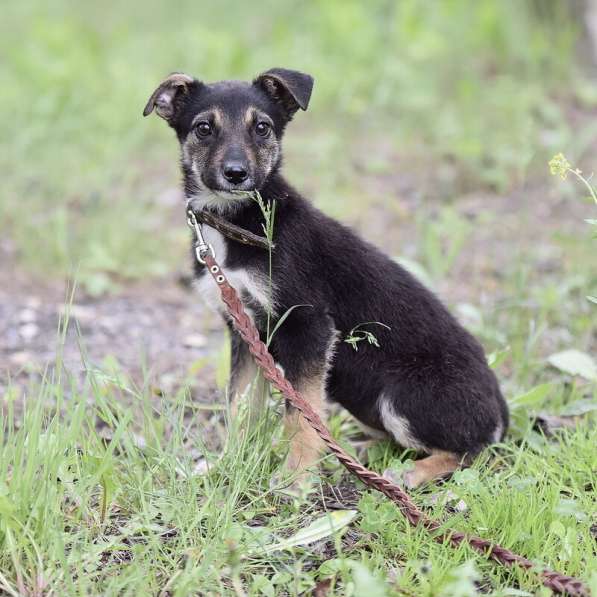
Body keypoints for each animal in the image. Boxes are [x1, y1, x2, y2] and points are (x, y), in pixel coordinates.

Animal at [144, 67, 508, 486]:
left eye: (262, 128)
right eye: (203, 128)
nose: (236, 174)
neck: (237, 221)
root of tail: (501, 409)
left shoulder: (308, 325)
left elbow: (302, 415)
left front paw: (294, 479)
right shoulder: (245, 332)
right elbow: (240, 407)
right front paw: (230, 465)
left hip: (401, 396)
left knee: (475, 452)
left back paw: (410, 473)